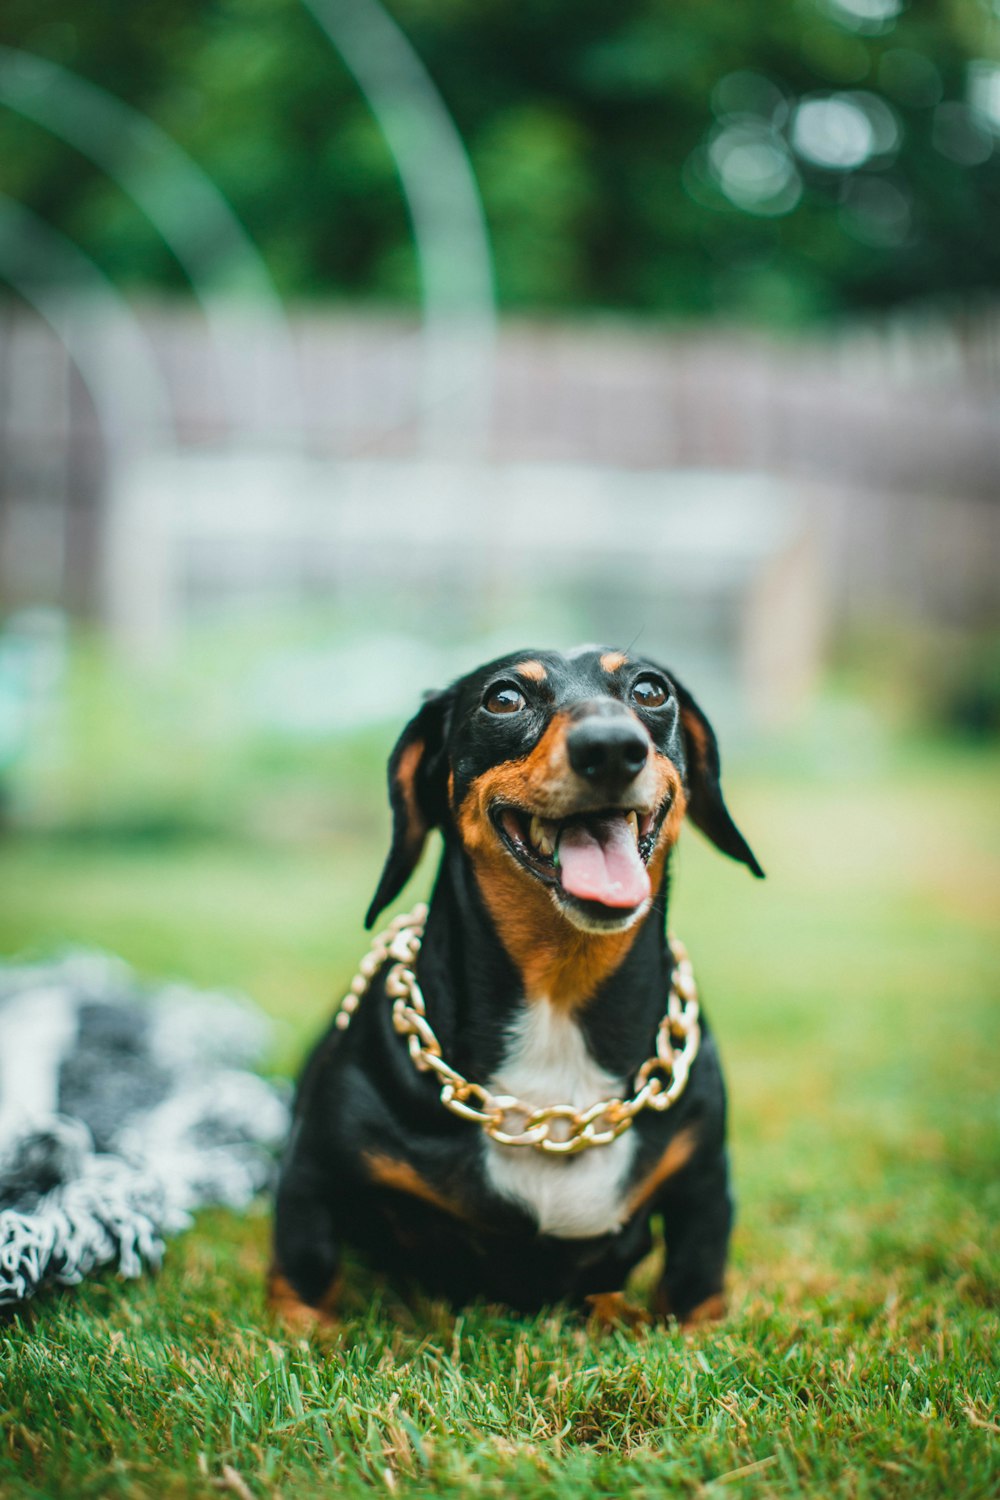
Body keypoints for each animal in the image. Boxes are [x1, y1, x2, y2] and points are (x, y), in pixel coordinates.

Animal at [269, 651, 761, 1332]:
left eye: (650, 690)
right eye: (503, 698)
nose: (612, 748)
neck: (558, 995)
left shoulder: (705, 1180)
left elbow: (695, 1285)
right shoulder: (313, 1172)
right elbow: (304, 1272)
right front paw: (306, 1335)